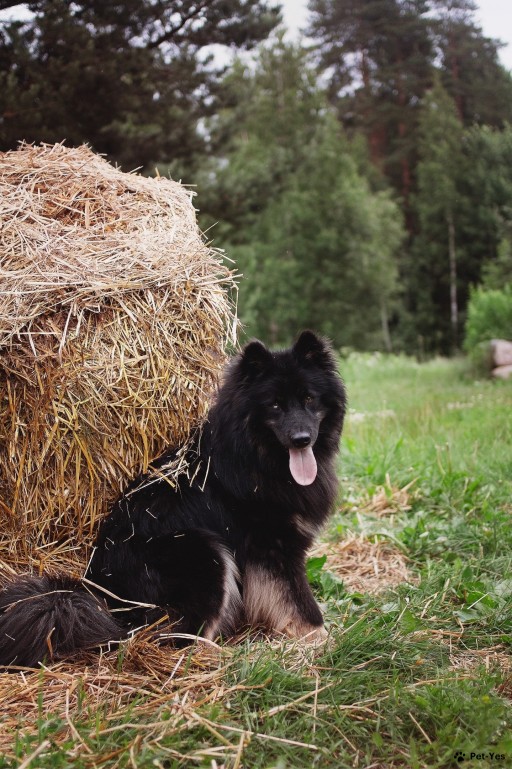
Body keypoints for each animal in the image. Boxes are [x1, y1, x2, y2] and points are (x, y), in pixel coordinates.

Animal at [0, 330, 348, 664]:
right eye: (274, 404)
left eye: (308, 398)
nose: (302, 439)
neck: (256, 456)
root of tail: (107, 602)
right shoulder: (274, 547)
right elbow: (301, 603)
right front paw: (324, 641)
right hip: (204, 551)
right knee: (177, 638)